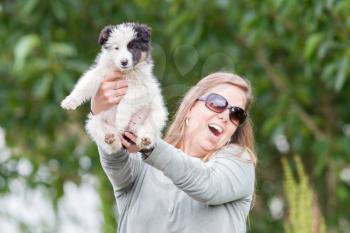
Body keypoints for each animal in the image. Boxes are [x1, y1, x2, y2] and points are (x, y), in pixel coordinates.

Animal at [60, 22, 168, 155]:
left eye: (133, 47)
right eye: (116, 48)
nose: (124, 62)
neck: (124, 72)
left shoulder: (141, 87)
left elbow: (126, 101)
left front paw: (120, 121)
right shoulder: (99, 74)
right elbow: (85, 85)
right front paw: (69, 101)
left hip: (157, 114)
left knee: (149, 130)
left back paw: (145, 139)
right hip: (94, 121)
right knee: (114, 146)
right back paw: (111, 139)